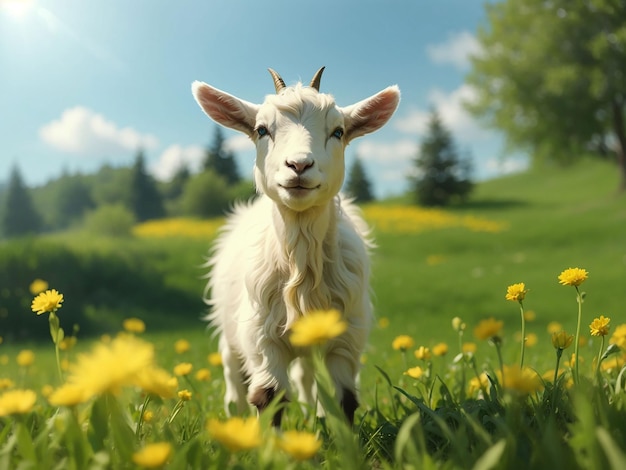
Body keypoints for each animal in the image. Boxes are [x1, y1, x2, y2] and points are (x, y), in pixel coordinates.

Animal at [191, 68, 400, 424]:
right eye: (261, 129)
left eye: (338, 131)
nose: (299, 165)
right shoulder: (262, 337)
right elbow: (268, 397)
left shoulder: (346, 336)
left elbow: (344, 399)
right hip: (228, 327)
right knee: (233, 378)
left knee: (305, 375)